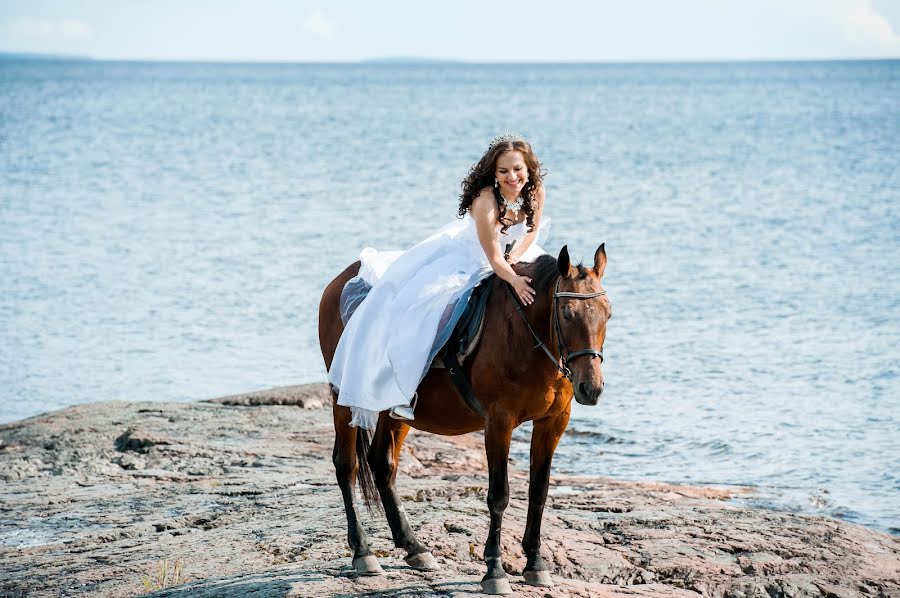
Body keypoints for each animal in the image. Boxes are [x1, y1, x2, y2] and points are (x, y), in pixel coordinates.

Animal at [318, 244, 612, 596]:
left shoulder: (553, 423)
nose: (591, 388)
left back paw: (414, 547)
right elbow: (499, 495)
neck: (524, 333)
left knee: (382, 463)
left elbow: (539, 493)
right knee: (347, 466)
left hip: (395, 408)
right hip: (343, 396)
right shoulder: (498, 421)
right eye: (567, 313)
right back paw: (363, 552)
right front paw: (495, 570)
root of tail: (338, 282)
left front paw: (535, 564)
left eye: (608, 313)